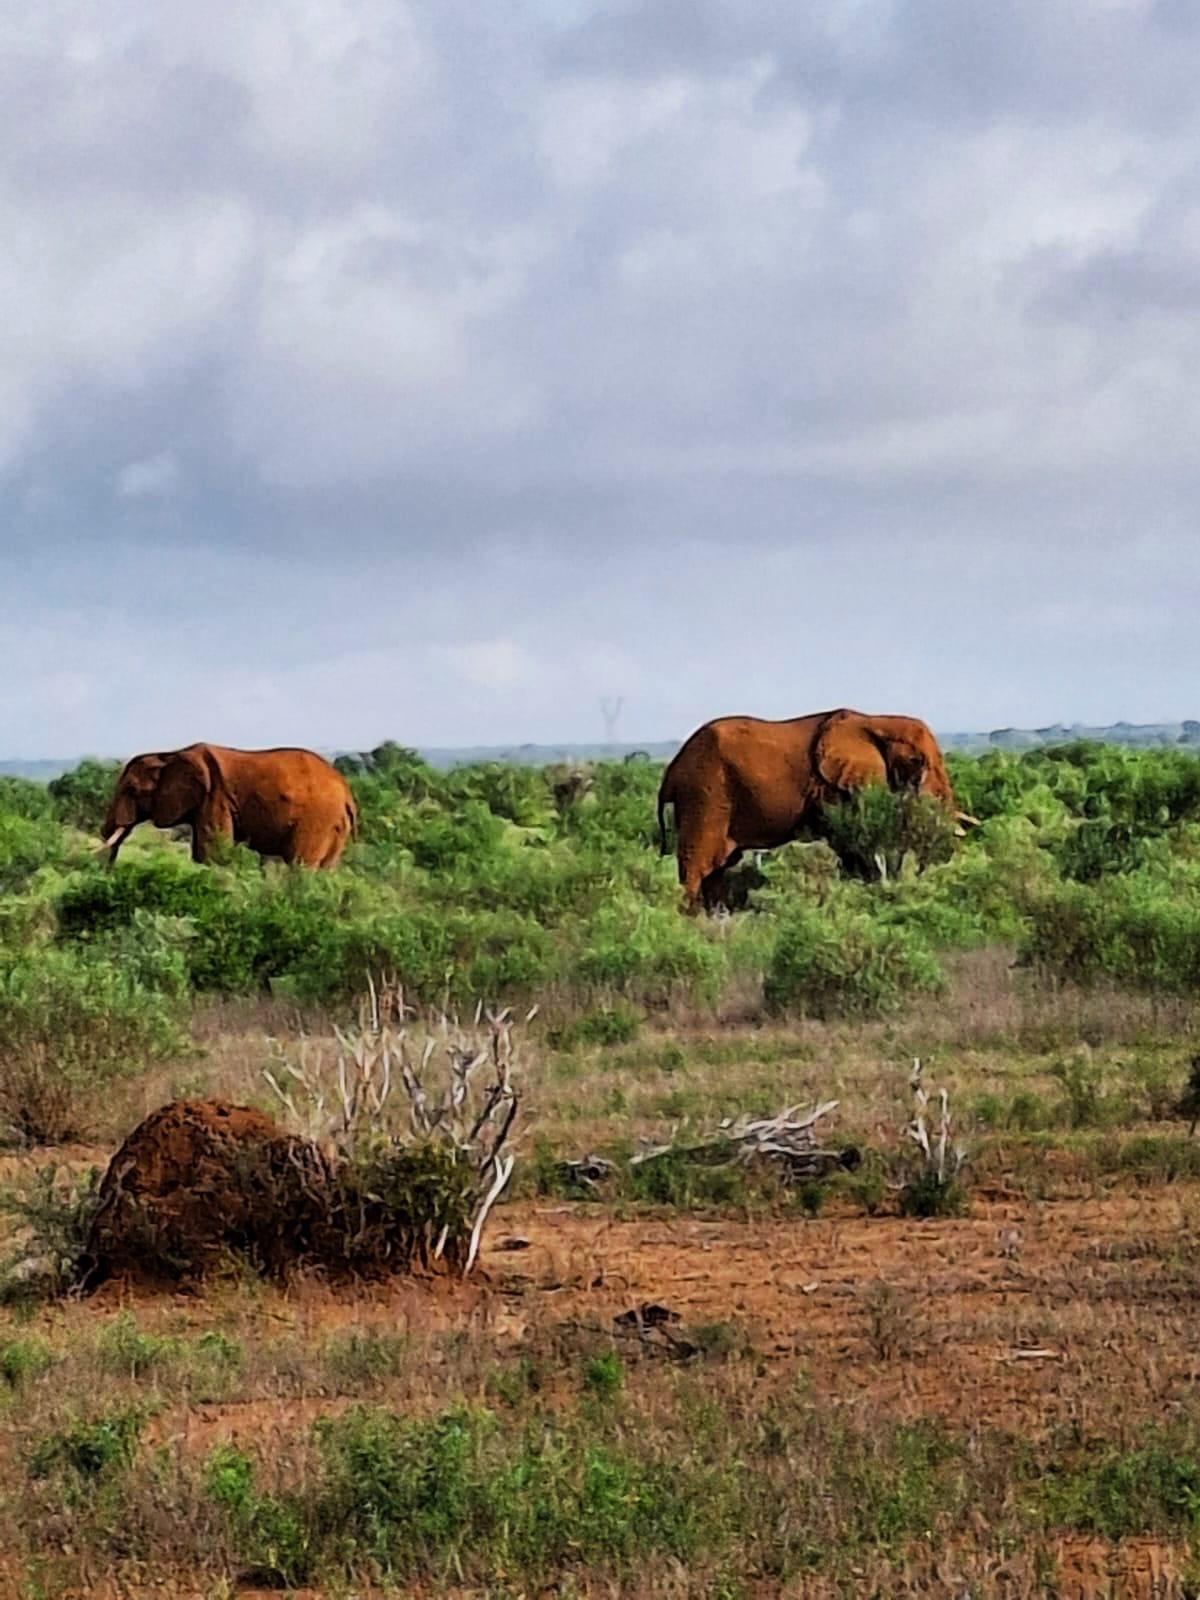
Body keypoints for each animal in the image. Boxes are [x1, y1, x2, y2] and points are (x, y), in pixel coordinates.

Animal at [100, 742, 355, 870]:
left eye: (132, 790)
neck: (169, 755)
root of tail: (346, 792)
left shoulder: (216, 796)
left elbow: (211, 853)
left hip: (317, 820)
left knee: (300, 866)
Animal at [659, 710, 979, 915]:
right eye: (918, 762)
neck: (877, 721)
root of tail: (671, 770)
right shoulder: (835, 788)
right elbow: (850, 842)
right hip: (706, 793)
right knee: (698, 862)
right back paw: (690, 920)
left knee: (716, 868)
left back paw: (717, 917)